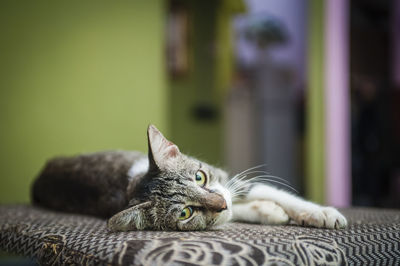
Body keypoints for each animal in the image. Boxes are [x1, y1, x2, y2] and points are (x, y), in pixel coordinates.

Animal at [32, 124, 346, 231]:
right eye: (185, 213)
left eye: (199, 177)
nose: (221, 203)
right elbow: (238, 210)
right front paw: (268, 212)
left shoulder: (230, 182)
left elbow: (275, 193)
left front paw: (320, 213)